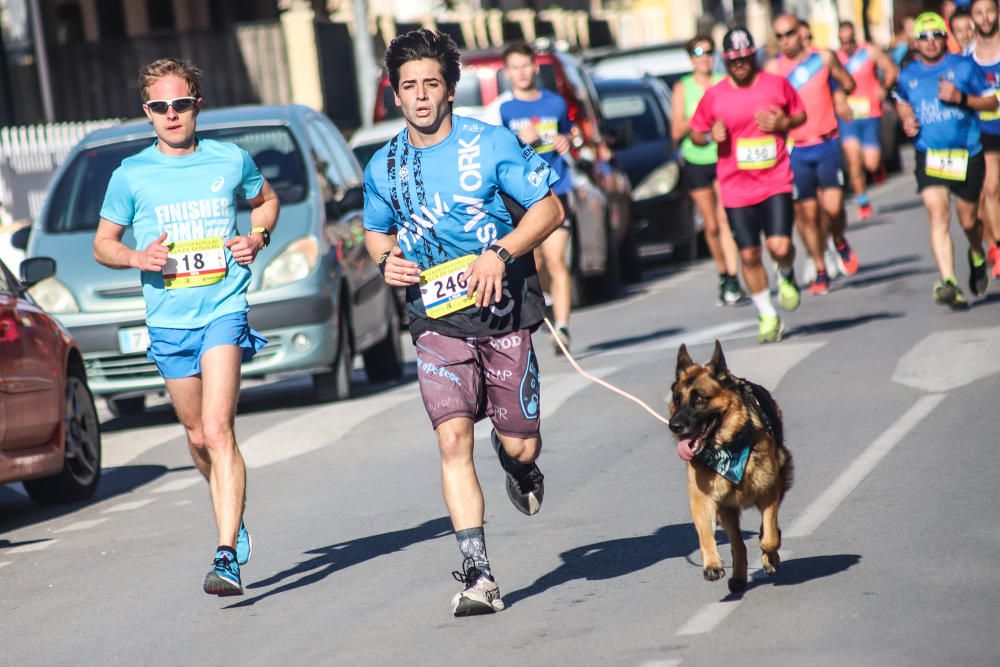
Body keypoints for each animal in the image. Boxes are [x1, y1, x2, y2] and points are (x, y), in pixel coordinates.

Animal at [668, 342, 792, 592]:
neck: (727, 449)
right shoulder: (703, 500)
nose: (673, 426)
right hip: (727, 513)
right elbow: (705, 534)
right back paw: (738, 576)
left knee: (766, 532)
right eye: (677, 399)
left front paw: (770, 556)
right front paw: (712, 564)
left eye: (699, 399)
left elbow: (769, 537)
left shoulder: (770, 492)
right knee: (738, 544)